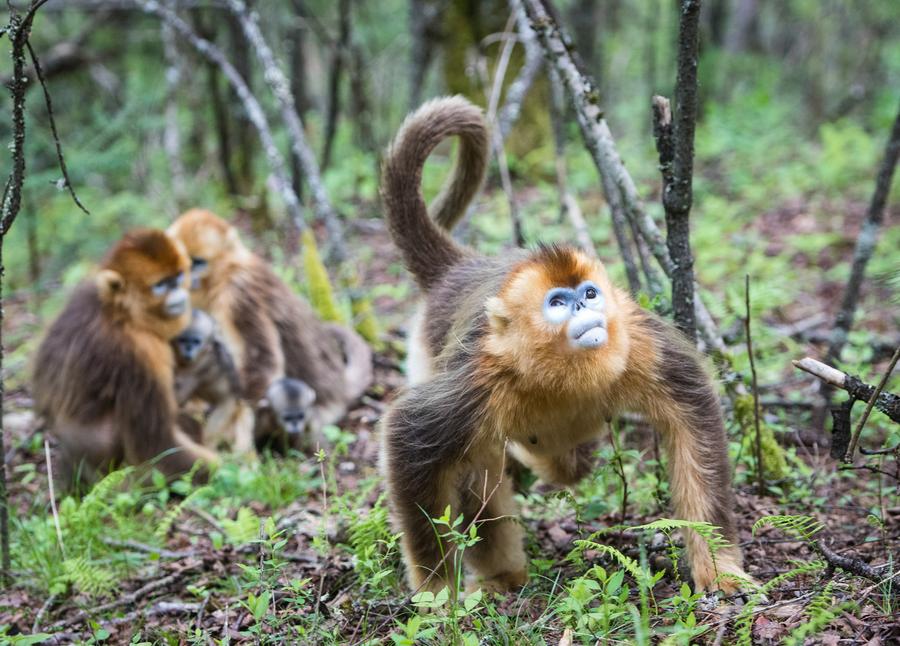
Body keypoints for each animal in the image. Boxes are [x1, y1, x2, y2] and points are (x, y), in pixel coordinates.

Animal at [171, 310, 255, 456]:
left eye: (196, 342)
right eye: (183, 340)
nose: (188, 350)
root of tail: (238, 405)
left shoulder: (200, 366)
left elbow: (179, 398)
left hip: (228, 408)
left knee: (211, 434)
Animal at [380, 96, 752, 596]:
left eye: (589, 293)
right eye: (558, 303)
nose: (582, 308)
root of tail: (458, 271)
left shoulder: (638, 342)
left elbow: (694, 417)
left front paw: (721, 568)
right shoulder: (480, 378)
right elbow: (409, 438)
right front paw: (438, 596)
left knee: (564, 463)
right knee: (479, 465)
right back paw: (502, 571)